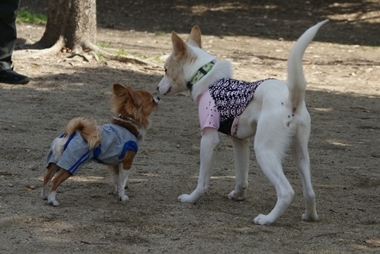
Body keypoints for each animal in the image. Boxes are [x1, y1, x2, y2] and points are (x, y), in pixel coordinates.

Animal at [156, 20, 328, 225]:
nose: (156, 88)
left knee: (286, 192)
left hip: (264, 151)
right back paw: (310, 216)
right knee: (310, 192)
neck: (205, 76)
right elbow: (241, 176)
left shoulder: (209, 139)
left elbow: (202, 179)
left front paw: (191, 198)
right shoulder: (239, 141)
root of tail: (291, 100)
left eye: (166, 70)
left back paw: (267, 219)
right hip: (300, 153)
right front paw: (238, 195)